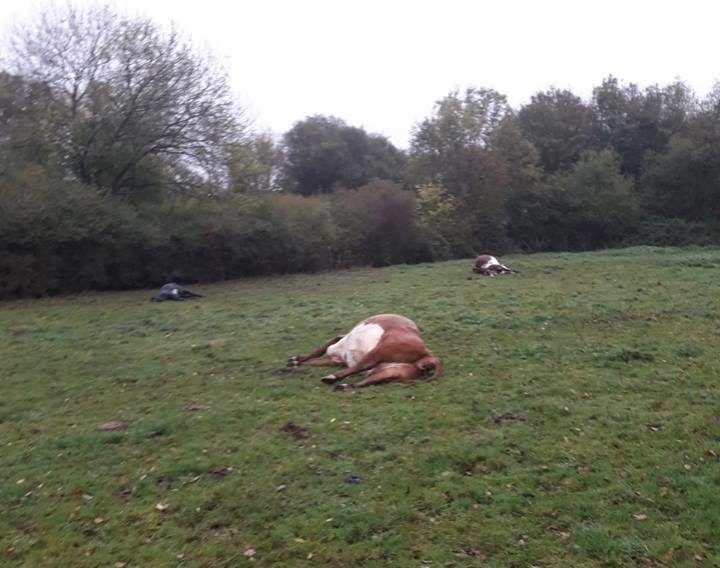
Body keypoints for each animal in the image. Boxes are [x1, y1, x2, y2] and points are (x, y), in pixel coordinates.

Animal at [287, 314, 441, 390]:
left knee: (362, 365)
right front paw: (296, 361)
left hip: (380, 350)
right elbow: (316, 358)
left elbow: (320, 350)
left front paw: (296, 360)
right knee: (366, 381)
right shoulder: (337, 359)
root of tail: (428, 355)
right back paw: (343, 385)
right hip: (389, 373)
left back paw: (332, 378)